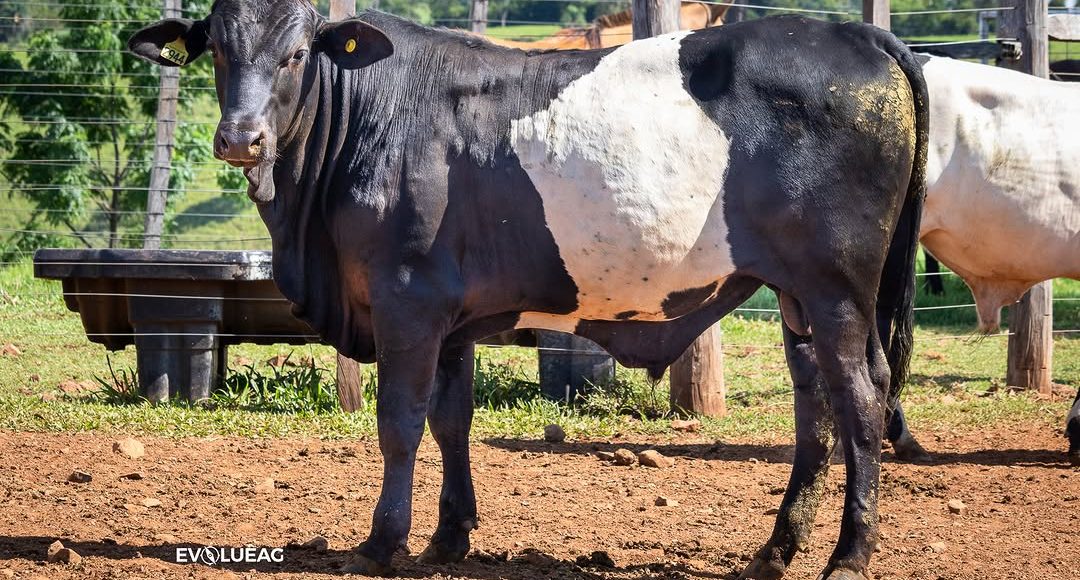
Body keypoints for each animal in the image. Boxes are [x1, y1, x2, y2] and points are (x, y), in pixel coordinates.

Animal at [132, 2, 928, 574]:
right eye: (218, 51)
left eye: (296, 53)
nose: (241, 139)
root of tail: (859, 35)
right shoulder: (450, 317)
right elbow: (451, 422)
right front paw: (449, 536)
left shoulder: (405, 300)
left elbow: (399, 423)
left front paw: (384, 542)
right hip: (798, 299)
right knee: (815, 413)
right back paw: (775, 550)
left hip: (837, 291)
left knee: (861, 402)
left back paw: (849, 556)